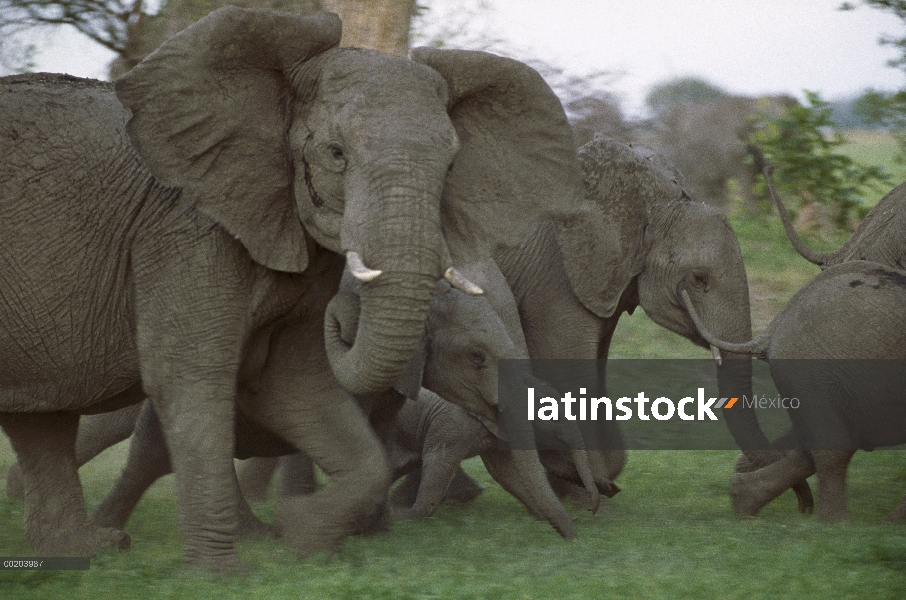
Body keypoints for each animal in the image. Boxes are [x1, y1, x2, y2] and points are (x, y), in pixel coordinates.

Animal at [0, 8, 580, 572]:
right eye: (336, 153)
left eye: (452, 165)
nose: (573, 539)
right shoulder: (183, 233)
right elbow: (189, 377)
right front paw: (225, 575)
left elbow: (294, 382)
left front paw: (306, 536)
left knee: (43, 421)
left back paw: (86, 551)